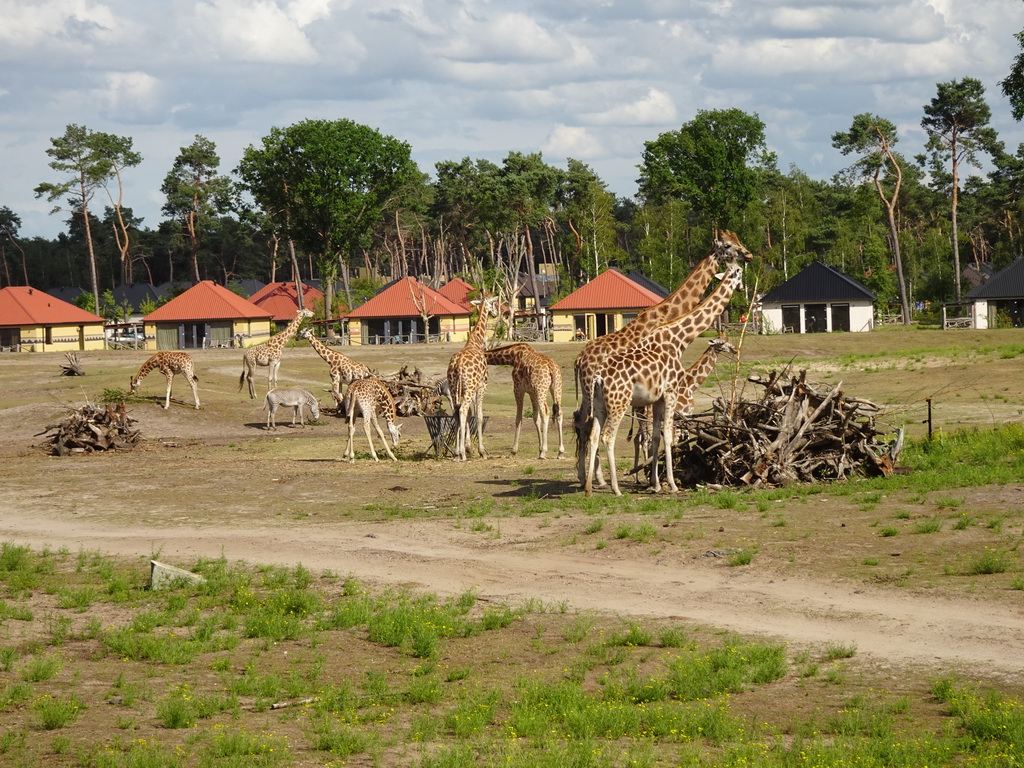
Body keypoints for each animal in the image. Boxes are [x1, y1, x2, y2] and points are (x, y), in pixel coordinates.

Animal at [444, 296, 499, 462]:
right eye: (494, 303)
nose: (496, 313)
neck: (476, 342)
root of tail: (458, 364)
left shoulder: (466, 390)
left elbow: (469, 415)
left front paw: (467, 447)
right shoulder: (482, 385)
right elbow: (479, 416)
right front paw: (480, 451)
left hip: (454, 387)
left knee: (456, 412)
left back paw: (457, 453)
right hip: (469, 387)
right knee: (462, 410)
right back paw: (462, 453)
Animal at [626, 337, 741, 481]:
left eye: (727, 340)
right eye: (721, 343)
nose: (735, 350)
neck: (689, 385)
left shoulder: (684, 417)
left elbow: (680, 443)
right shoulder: (681, 415)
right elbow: (675, 444)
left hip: (641, 418)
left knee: (639, 439)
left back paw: (639, 477)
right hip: (648, 418)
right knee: (646, 441)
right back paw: (649, 475)